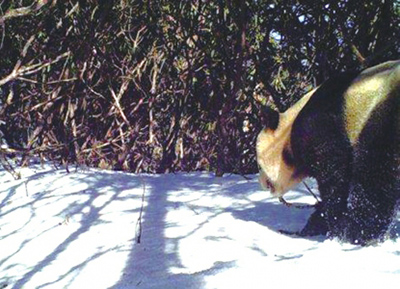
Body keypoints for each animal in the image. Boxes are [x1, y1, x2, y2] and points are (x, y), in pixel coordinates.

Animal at [256, 59, 400, 244]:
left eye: (259, 165)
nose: (261, 182)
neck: (289, 130)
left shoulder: (320, 130)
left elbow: (334, 178)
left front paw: (337, 228)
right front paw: (314, 225)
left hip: (384, 117)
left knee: (375, 175)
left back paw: (358, 234)